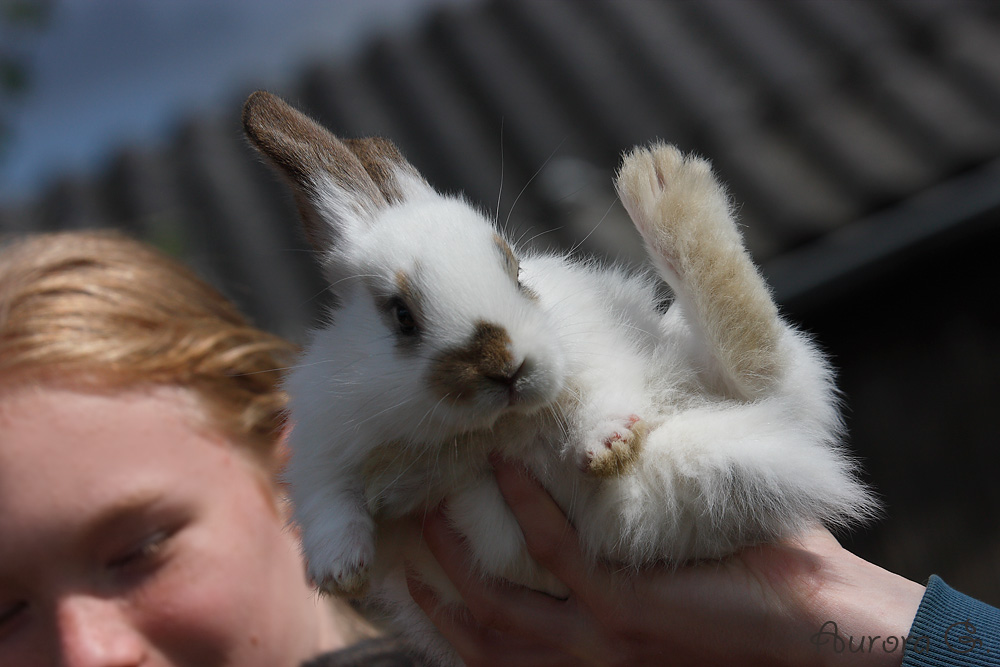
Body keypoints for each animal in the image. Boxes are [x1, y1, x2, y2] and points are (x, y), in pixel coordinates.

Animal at [242, 90, 876, 667]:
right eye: (401, 315)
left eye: (516, 271)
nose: (507, 365)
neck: (488, 430)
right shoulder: (324, 445)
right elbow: (330, 501)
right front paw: (339, 570)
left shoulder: (593, 354)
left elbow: (605, 392)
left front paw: (609, 444)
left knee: (751, 355)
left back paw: (662, 181)